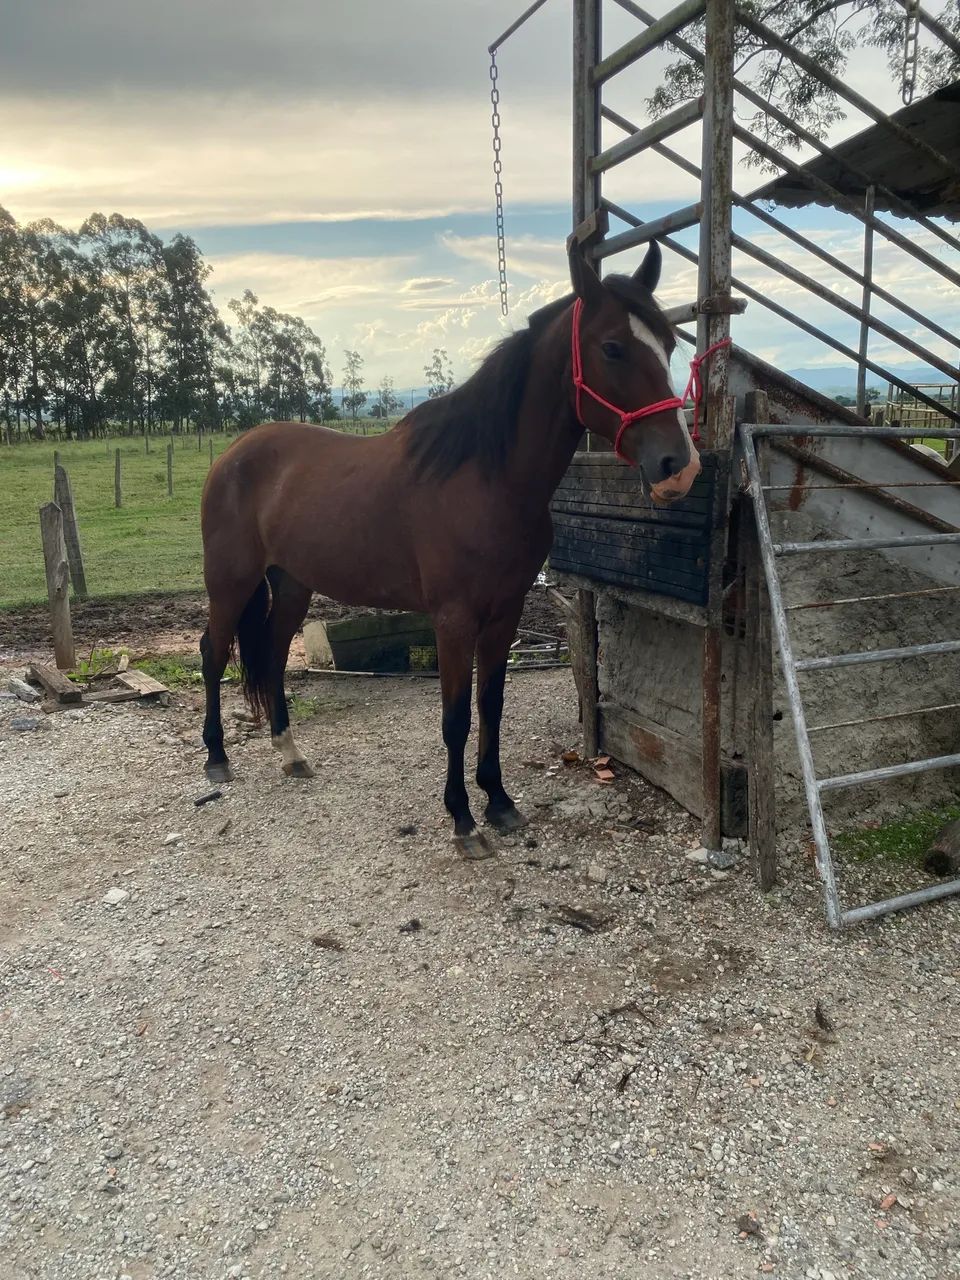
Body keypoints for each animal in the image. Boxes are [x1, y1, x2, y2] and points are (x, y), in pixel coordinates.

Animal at [198, 237, 701, 855]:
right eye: (612, 347)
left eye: (670, 343)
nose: (679, 466)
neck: (486, 478)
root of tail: (233, 453)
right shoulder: (454, 619)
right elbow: (456, 717)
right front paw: (462, 818)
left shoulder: (506, 612)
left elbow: (491, 705)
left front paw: (499, 801)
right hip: (231, 581)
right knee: (213, 653)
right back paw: (217, 758)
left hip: (291, 584)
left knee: (269, 652)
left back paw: (290, 753)